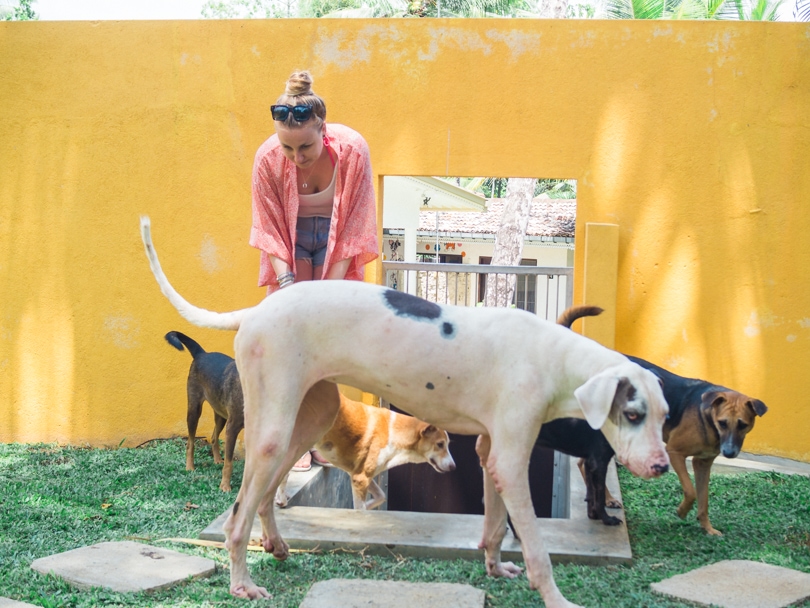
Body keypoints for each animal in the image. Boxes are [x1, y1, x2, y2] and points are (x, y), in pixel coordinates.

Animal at [163, 330, 241, 492]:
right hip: (194, 410)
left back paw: (217, 459)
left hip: (221, 415)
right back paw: (190, 467)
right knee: (190, 443)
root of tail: (201, 353)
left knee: (213, 437)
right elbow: (229, 463)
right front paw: (225, 486)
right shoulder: (232, 428)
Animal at [276, 390, 458, 508]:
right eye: (440, 444)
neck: (395, 432)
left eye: (447, 444)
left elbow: (380, 497)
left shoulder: (360, 474)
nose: (453, 467)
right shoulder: (360, 479)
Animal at [548, 308, 768, 536]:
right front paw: (682, 511)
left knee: (583, 462)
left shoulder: (703, 463)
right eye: (723, 423)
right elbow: (690, 491)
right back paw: (606, 499)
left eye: (743, 425)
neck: (707, 418)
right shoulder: (675, 452)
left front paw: (707, 528)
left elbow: (704, 499)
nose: (729, 452)